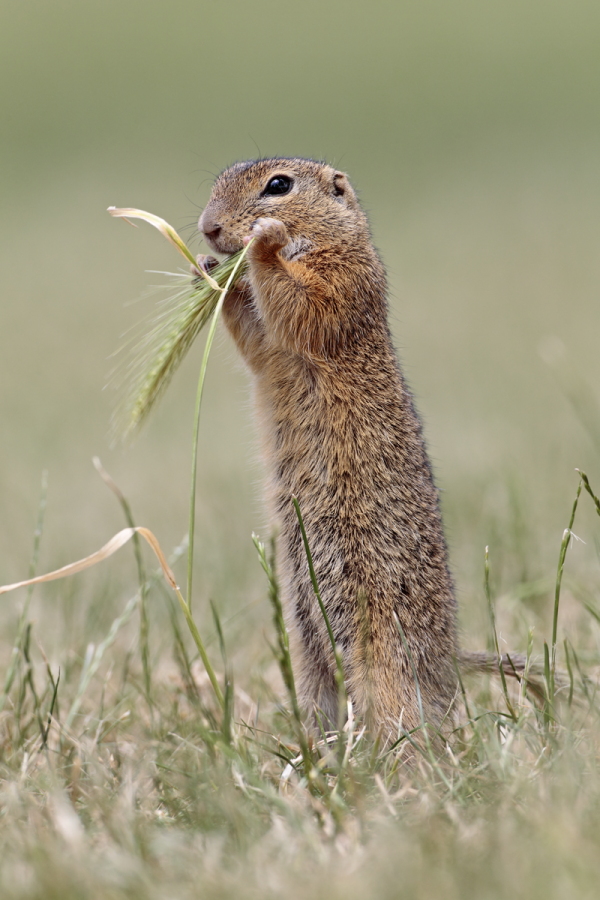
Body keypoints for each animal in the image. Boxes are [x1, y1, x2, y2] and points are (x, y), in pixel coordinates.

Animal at [195, 157, 533, 745]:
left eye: (278, 185)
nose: (207, 228)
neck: (327, 239)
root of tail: (447, 660)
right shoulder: (269, 345)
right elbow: (255, 334)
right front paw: (208, 270)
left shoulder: (345, 283)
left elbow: (304, 307)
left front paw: (262, 245)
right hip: (309, 655)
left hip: (384, 656)